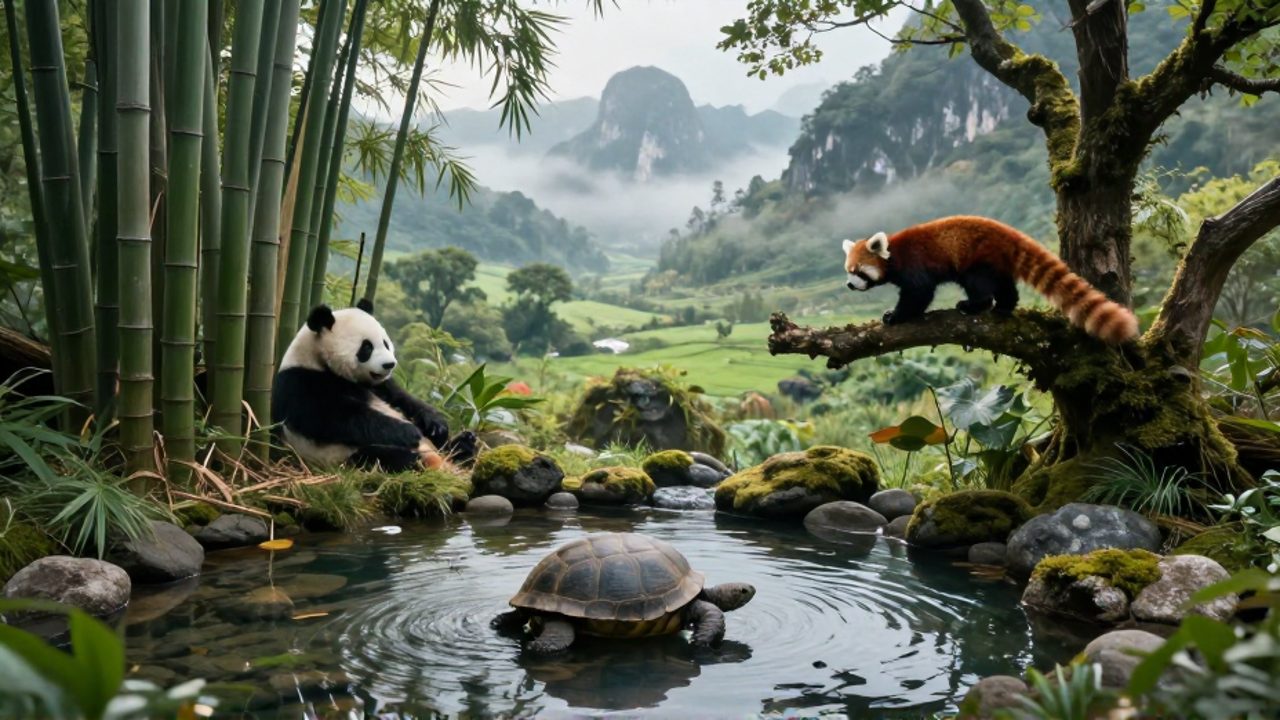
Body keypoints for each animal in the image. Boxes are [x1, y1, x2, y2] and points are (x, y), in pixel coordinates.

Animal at [272, 299, 476, 472]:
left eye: (385, 343)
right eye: (366, 347)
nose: (390, 364)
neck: (319, 361)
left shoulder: (379, 385)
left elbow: (403, 399)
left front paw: (436, 424)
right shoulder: (300, 383)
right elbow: (332, 418)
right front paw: (408, 432)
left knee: (455, 446)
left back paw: (464, 447)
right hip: (342, 455)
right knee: (383, 457)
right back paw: (417, 459)